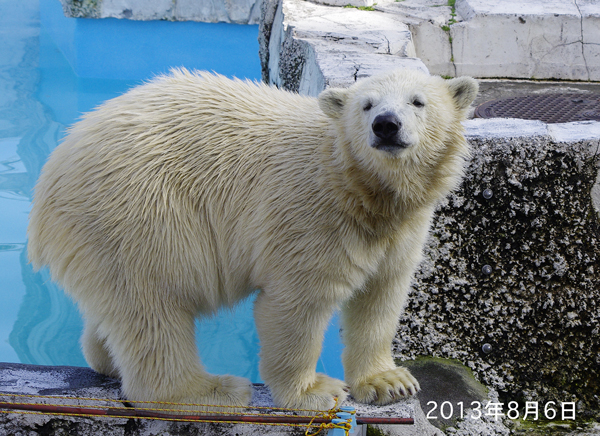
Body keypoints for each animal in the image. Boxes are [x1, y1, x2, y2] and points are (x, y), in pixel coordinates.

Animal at [27, 68, 478, 412]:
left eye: (418, 101)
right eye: (366, 105)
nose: (386, 124)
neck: (361, 190)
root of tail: (50, 177)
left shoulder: (401, 230)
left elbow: (381, 296)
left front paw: (390, 382)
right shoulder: (311, 215)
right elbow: (297, 304)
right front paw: (315, 391)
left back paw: (106, 357)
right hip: (139, 211)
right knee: (153, 304)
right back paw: (210, 391)